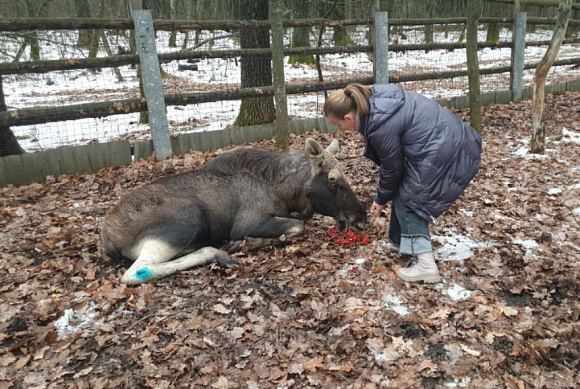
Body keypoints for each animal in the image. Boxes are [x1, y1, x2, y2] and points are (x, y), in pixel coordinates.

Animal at [98, 138, 362, 284]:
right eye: (333, 181)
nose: (361, 218)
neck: (285, 192)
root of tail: (108, 239)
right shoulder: (247, 222)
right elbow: (298, 226)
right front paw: (246, 243)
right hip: (187, 220)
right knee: (136, 272)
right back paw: (218, 253)